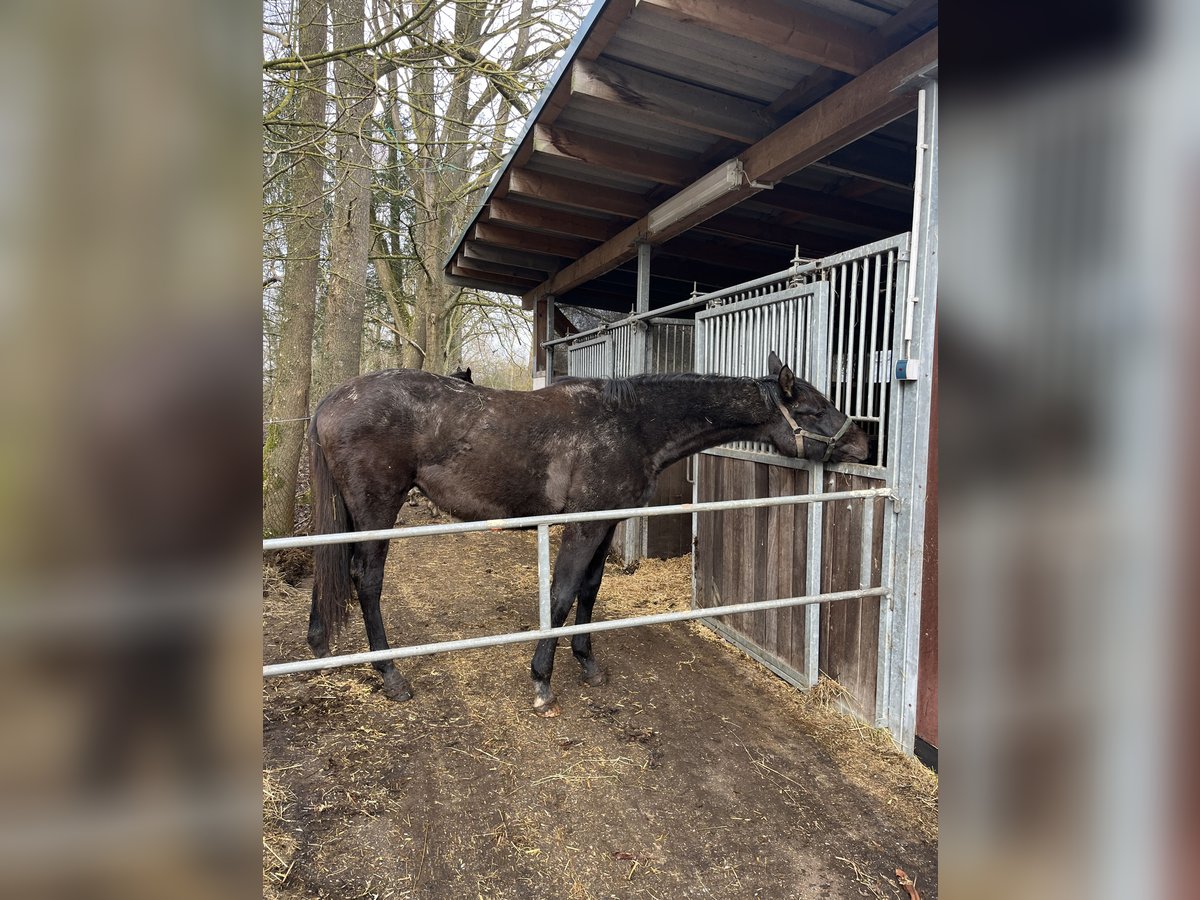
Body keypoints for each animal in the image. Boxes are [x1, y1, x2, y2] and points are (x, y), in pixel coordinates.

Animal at [304, 352, 868, 720]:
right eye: (814, 409)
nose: (863, 443)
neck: (630, 424)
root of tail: (330, 400)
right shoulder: (584, 525)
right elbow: (561, 593)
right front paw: (541, 680)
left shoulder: (608, 523)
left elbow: (590, 592)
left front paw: (588, 663)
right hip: (378, 508)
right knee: (367, 580)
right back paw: (391, 676)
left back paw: (320, 648)